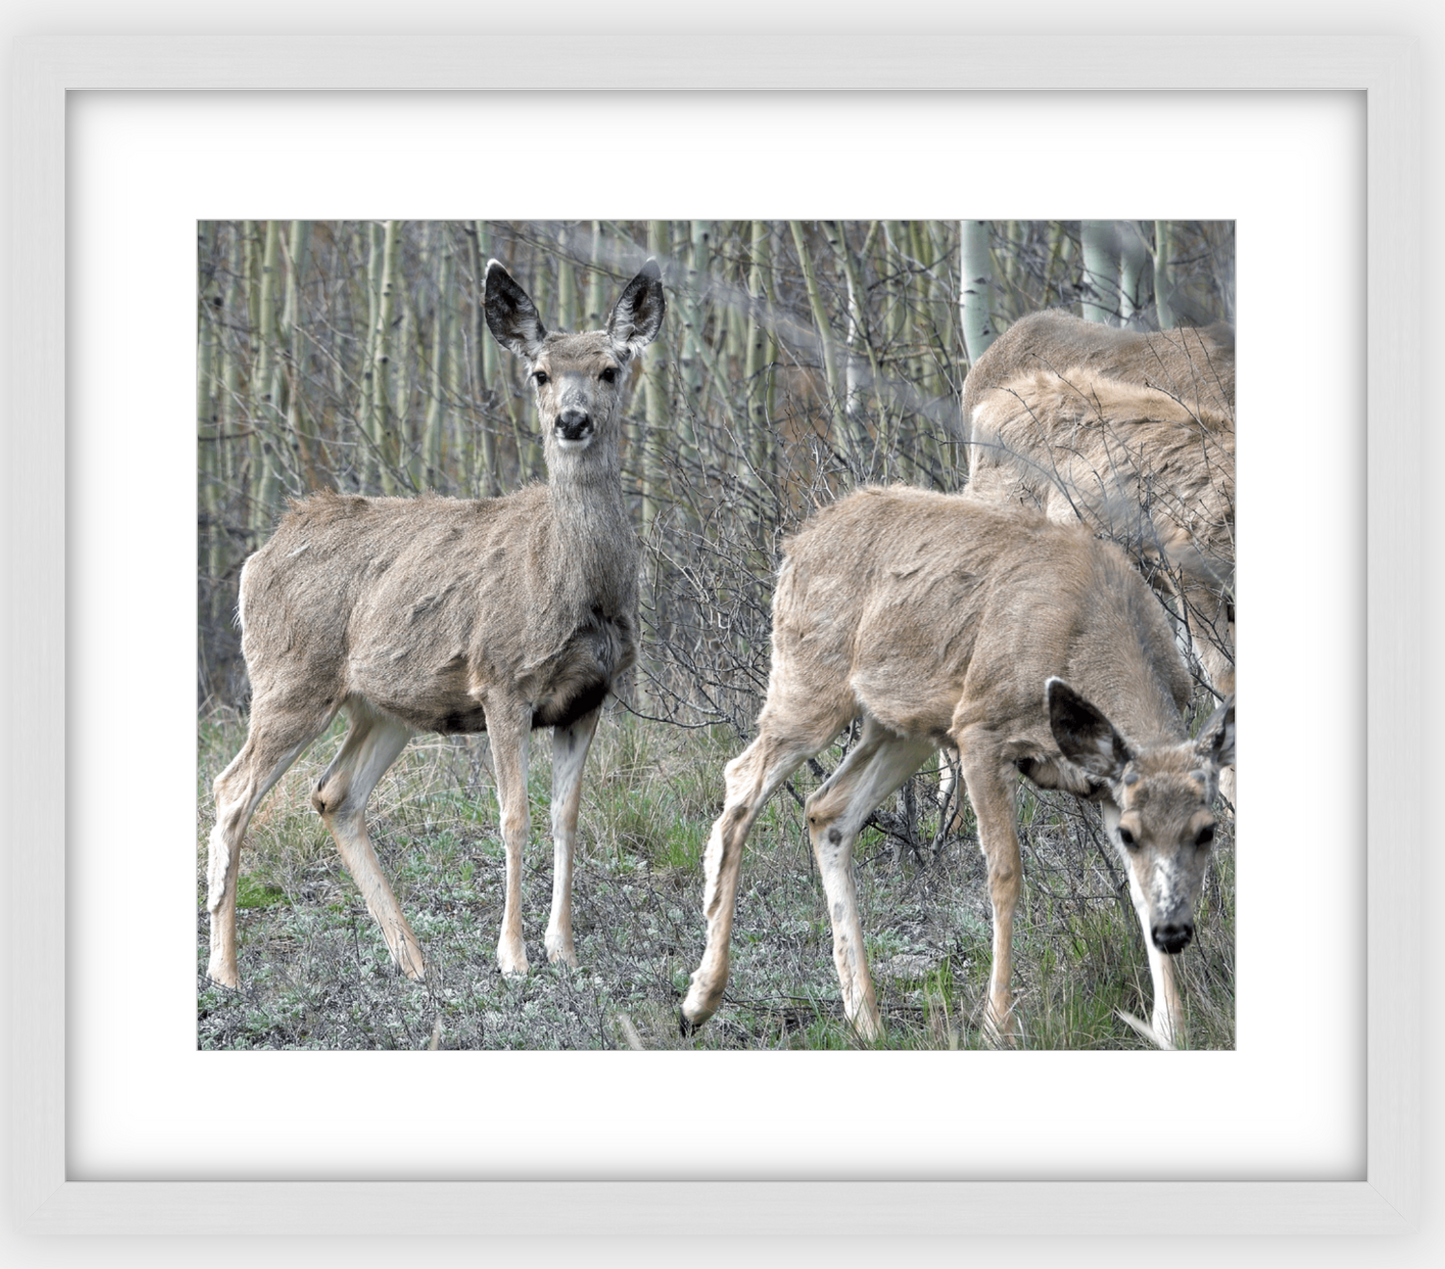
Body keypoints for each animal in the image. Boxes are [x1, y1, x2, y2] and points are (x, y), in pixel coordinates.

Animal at [205, 260, 664, 994]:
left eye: (609, 368)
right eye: (539, 372)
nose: (572, 420)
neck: (576, 585)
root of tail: (255, 561)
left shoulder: (590, 696)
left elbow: (566, 817)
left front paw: (564, 950)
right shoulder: (504, 680)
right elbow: (514, 817)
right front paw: (513, 958)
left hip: (382, 705)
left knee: (334, 794)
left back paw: (412, 959)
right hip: (289, 679)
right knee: (231, 790)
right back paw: (225, 969)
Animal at [682, 485, 1236, 1052]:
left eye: (1207, 830)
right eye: (1131, 833)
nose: (1176, 934)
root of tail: (798, 541)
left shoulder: (1103, 782)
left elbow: (1140, 891)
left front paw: (1171, 1028)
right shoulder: (980, 729)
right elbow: (1005, 873)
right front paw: (997, 1024)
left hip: (902, 724)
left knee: (827, 809)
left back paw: (866, 1020)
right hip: (810, 681)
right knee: (740, 783)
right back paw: (700, 999)